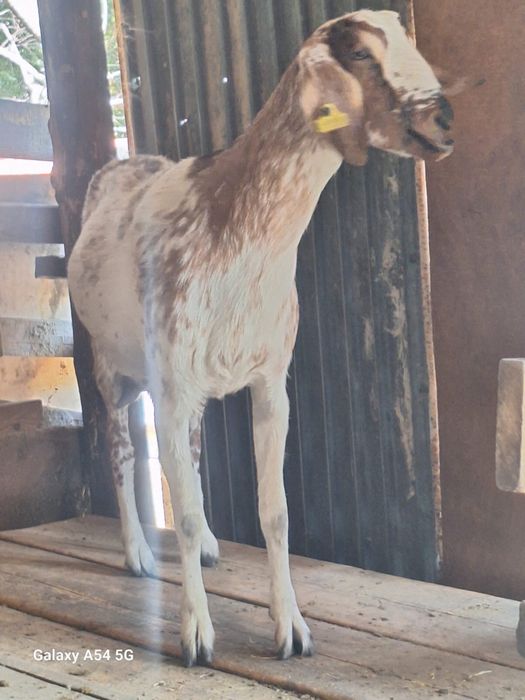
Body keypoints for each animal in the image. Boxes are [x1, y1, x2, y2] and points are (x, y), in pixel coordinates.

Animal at [68, 9, 454, 667]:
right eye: (358, 52)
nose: (442, 117)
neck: (238, 233)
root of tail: (125, 161)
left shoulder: (271, 381)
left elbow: (274, 512)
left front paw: (291, 627)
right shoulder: (172, 384)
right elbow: (181, 511)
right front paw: (196, 635)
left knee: (193, 456)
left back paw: (206, 548)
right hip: (109, 367)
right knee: (119, 452)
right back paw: (137, 553)